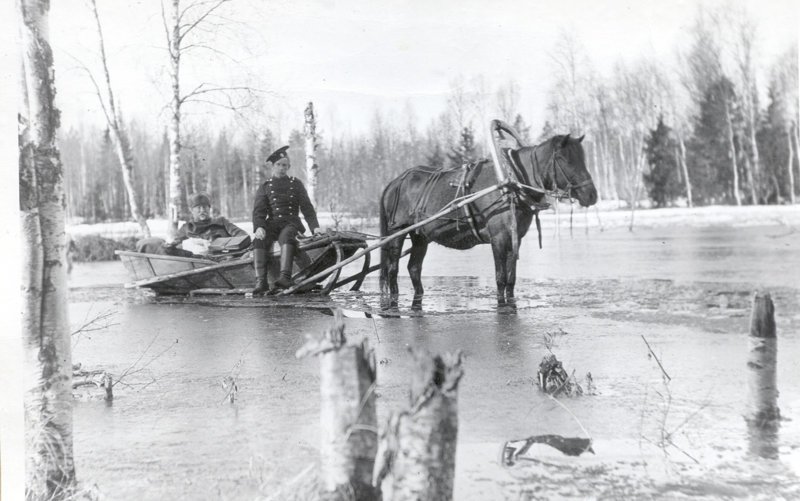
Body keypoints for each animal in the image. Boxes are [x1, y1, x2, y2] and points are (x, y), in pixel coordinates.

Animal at [378, 132, 596, 308]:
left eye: (583, 158)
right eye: (563, 158)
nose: (591, 194)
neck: (509, 184)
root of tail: (394, 182)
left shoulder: (515, 238)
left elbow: (511, 279)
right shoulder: (498, 238)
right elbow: (500, 278)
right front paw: (501, 304)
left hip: (420, 236)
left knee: (413, 268)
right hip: (397, 233)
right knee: (392, 270)